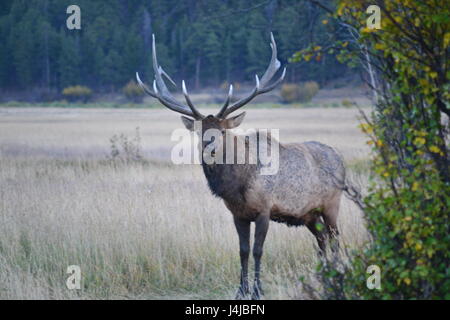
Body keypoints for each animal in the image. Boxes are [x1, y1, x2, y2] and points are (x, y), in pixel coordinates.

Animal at [136, 33, 344, 300]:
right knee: (322, 239)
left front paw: (257, 290)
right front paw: (241, 290)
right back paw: (323, 274)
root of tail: (340, 157)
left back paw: (337, 272)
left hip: (331, 203)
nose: (209, 148)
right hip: (309, 214)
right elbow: (243, 250)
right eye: (200, 131)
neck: (238, 185)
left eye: (223, 131)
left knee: (335, 238)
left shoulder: (265, 209)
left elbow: (257, 250)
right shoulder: (237, 214)